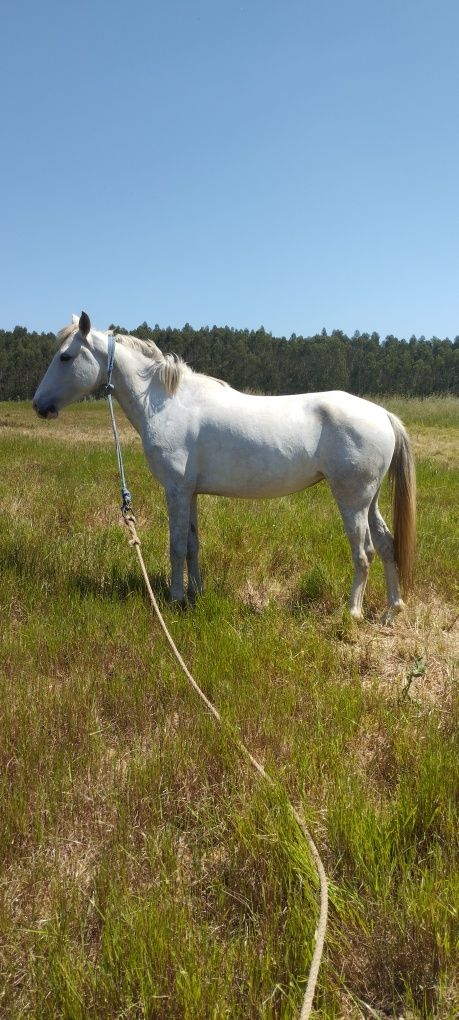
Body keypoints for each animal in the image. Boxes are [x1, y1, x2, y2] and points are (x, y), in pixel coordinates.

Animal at [33, 310, 416, 616]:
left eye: (66, 357)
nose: (39, 405)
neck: (167, 403)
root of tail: (382, 414)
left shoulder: (176, 490)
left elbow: (175, 546)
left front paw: (175, 599)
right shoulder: (191, 493)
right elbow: (192, 545)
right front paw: (195, 593)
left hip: (352, 501)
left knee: (364, 553)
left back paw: (352, 613)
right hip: (369, 501)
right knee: (386, 546)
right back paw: (391, 610)